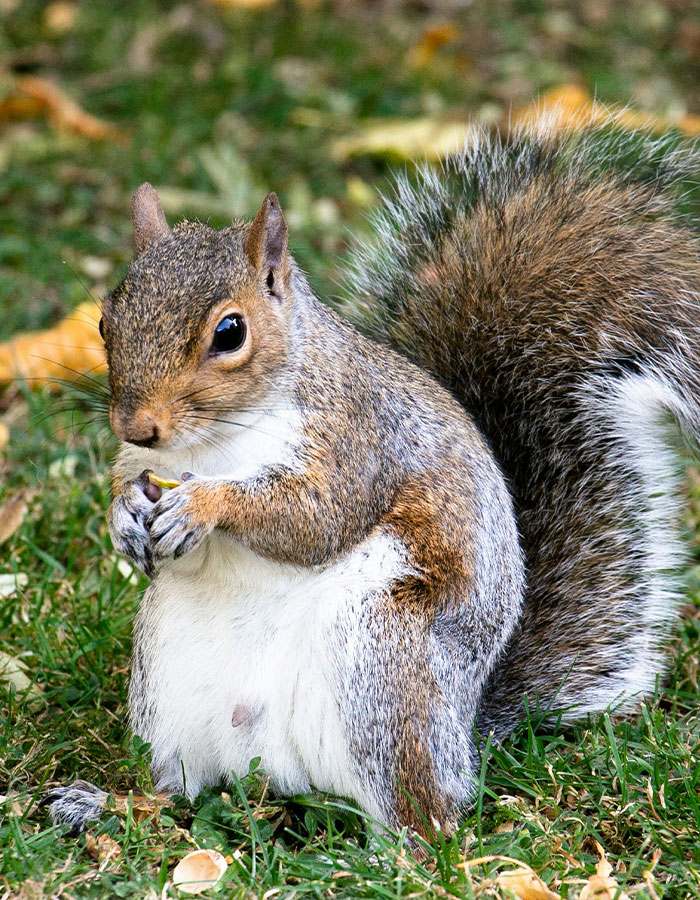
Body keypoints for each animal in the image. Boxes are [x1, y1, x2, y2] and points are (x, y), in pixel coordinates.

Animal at [45, 123, 700, 844]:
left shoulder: (359, 441)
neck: (215, 442)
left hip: (382, 662)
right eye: (105, 322)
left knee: (428, 817)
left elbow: (315, 518)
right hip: (167, 682)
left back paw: (394, 850)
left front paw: (203, 505)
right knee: (179, 790)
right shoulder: (140, 459)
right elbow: (130, 484)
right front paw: (123, 516)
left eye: (230, 332)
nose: (136, 425)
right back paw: (104, 804)